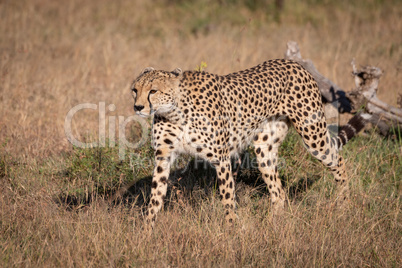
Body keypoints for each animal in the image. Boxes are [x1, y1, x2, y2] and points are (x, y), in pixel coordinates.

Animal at [131, 59, 364, 226]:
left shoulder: (221, 159)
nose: (138, 107)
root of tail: (293, 63)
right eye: (135, 90)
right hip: (264, 148)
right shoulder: (163, 157)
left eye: (153, 91)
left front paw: (232, 230)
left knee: (338, 160)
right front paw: (147, 232)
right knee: (278, 192)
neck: (176, 111)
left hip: (313, 135)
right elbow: (155, 197)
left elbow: (227, 197)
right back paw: (272, 225)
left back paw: (343, 205)